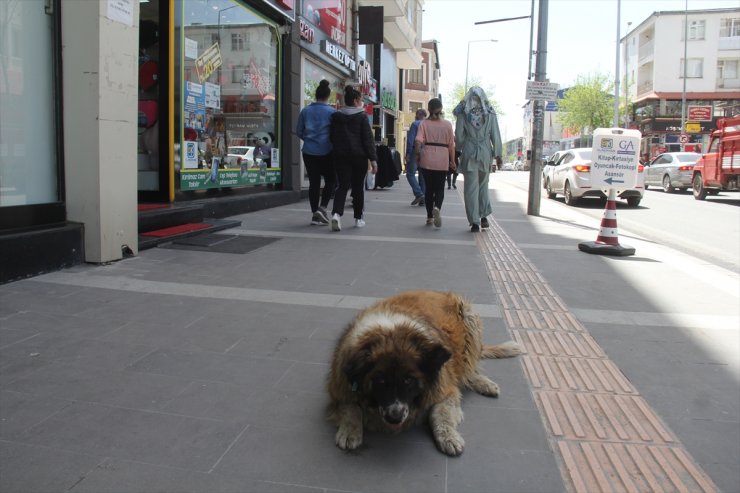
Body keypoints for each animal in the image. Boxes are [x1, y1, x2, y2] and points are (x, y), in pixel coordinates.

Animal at [326, 290, 524, 456]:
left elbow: (441, 413)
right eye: (380, 381)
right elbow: (350, 407)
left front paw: (449, 437)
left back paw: (483, 382)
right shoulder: (339, 386)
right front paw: (350, 431)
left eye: (408, 380)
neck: (392, 331)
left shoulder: (445, 388)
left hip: (469, 320)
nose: (394, 417)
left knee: (468, 366)